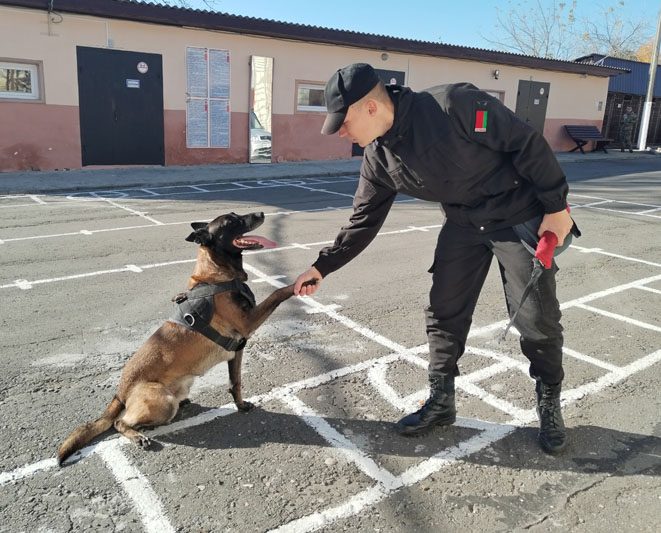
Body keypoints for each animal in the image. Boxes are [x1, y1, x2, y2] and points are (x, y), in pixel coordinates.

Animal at [56, 210, 300, 464]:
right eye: (232, 221)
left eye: (236, 215)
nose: (260, 213)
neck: (217, 275)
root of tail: (121, 391)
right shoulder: (247, 323)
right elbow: (277, 293)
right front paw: (298, 282)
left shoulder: (237, 350)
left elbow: (236, 383)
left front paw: (240, 406)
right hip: (163, 402)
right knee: (118, 422)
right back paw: (138, 435)